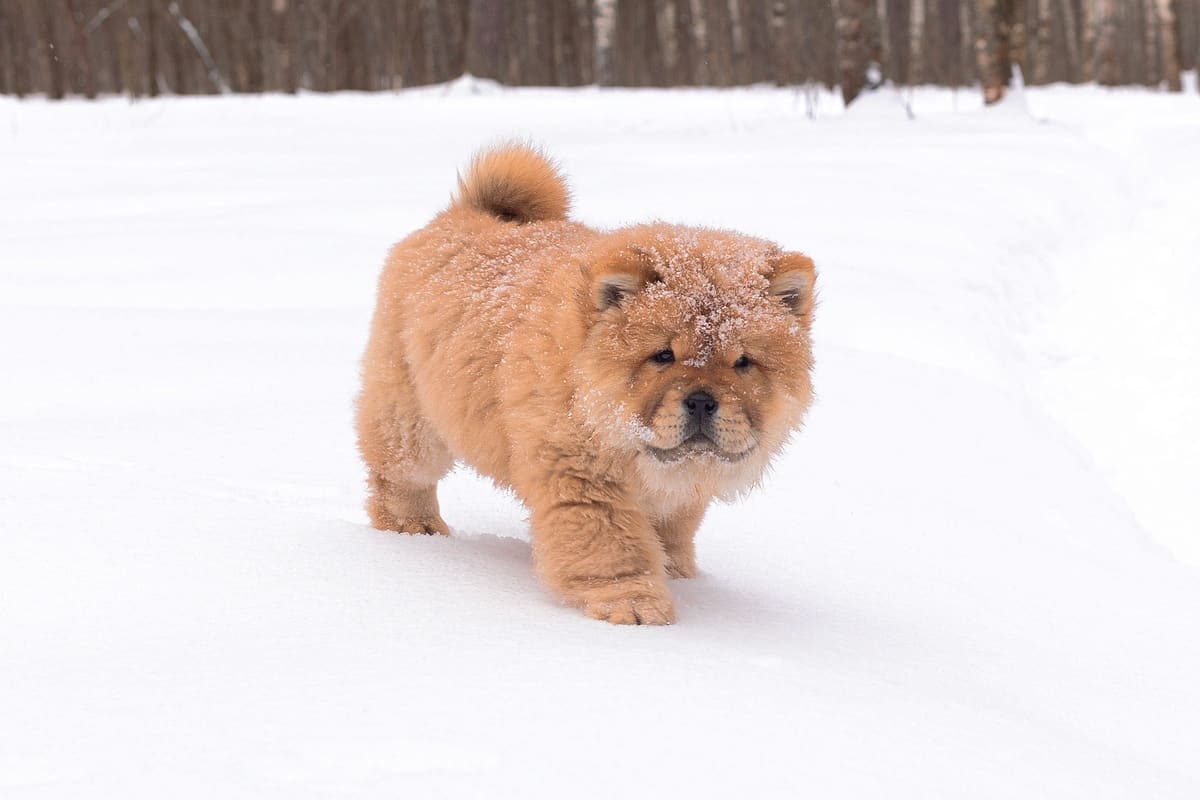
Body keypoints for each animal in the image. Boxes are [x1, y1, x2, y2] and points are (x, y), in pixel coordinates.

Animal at [355, 143, 816, 623]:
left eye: (743, 363)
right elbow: (611, 545)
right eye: (663, 356)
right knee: (402, 474)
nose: (703, 401)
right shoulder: (581, 475)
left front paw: (676, 571)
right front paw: (633, 604)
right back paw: (413, 527)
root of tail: (462, 214)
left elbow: (672, 529)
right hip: (409, 411)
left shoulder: (679, 490)